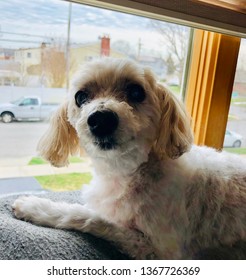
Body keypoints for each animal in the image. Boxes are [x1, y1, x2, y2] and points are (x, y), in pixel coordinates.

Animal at [13, 58, 246, 260]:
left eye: (136, 91)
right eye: (80, 97)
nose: (101, 119)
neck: (130, 171)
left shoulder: (159, 250)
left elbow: (90, 217)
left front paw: (36, 207)